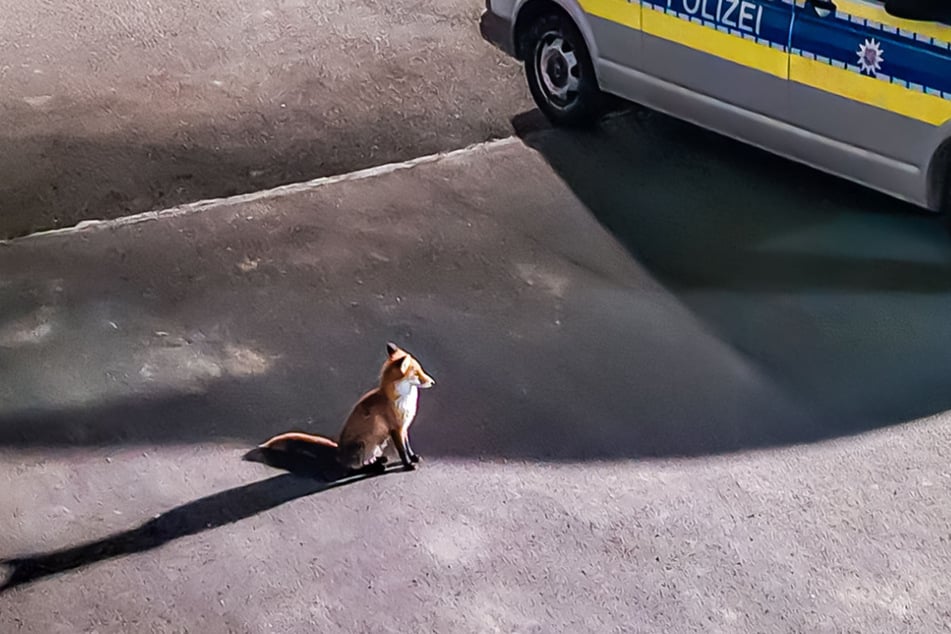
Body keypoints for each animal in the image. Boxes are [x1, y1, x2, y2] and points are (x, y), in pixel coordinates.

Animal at [260, 340, 438, 474]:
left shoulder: (404, 427)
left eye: (421, 370)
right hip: (363, 445)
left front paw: (414, 457)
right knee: (351, 469)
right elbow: (402, 451)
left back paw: (379, 460)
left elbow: (408, 447)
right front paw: (408, 465)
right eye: (417, 373)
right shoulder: (396, 428)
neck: (402, 401)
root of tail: (338, 449)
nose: (432, 382)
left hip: (379, 444)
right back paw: (375, 467)